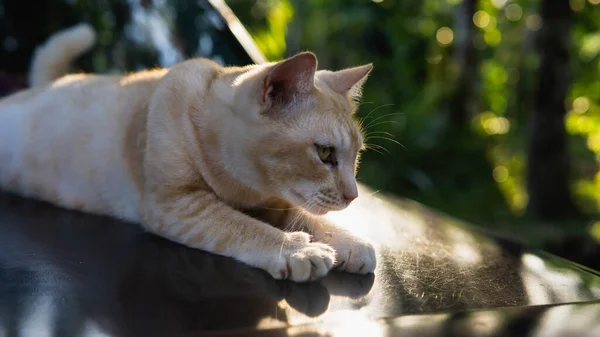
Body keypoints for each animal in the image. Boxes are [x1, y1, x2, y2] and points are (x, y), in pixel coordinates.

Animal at [0, 22, 376, 282]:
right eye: (324, 153)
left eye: (356, 155)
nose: (354, 196)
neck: (244, 188)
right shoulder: (179, 204)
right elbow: (244, 226)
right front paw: (298, 248)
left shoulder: (276, 203)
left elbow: (314, 220)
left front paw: (351, 244)